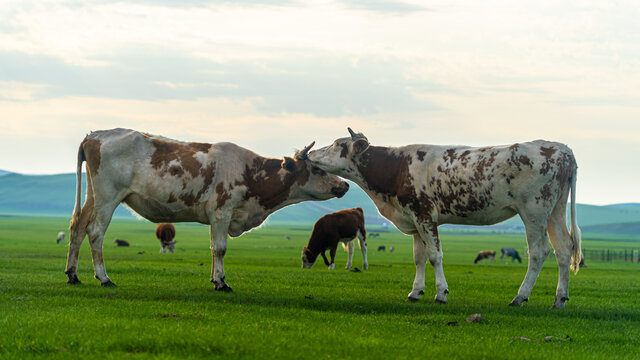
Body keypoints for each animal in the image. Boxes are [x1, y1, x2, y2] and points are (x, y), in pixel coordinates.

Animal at [63, 128, 350, 292]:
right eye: (316, 169)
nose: (344, 184)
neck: (250, 173)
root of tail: (96, 135)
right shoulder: (222, 212)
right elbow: (220, 248)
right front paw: (221, 282)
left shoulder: (217, 217)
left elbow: (213, 248)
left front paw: (214, 278)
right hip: (108, 197)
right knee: (95, 232)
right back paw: (103, 278)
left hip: (93, 196)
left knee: (78, 228)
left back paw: (73, 275)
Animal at [308, 128, 584, 308]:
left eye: (337, 144)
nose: (309, 155)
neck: (396, 169)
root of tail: (562, 149)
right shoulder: (414, 219)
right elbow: (419, 258)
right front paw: (415, 292)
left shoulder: (425, 214)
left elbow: (434, 256)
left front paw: (441, 293)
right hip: (555, 210)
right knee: (563, 248)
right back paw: (559, 299)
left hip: (534, 211)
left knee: (538, 252)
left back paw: (520, 297)